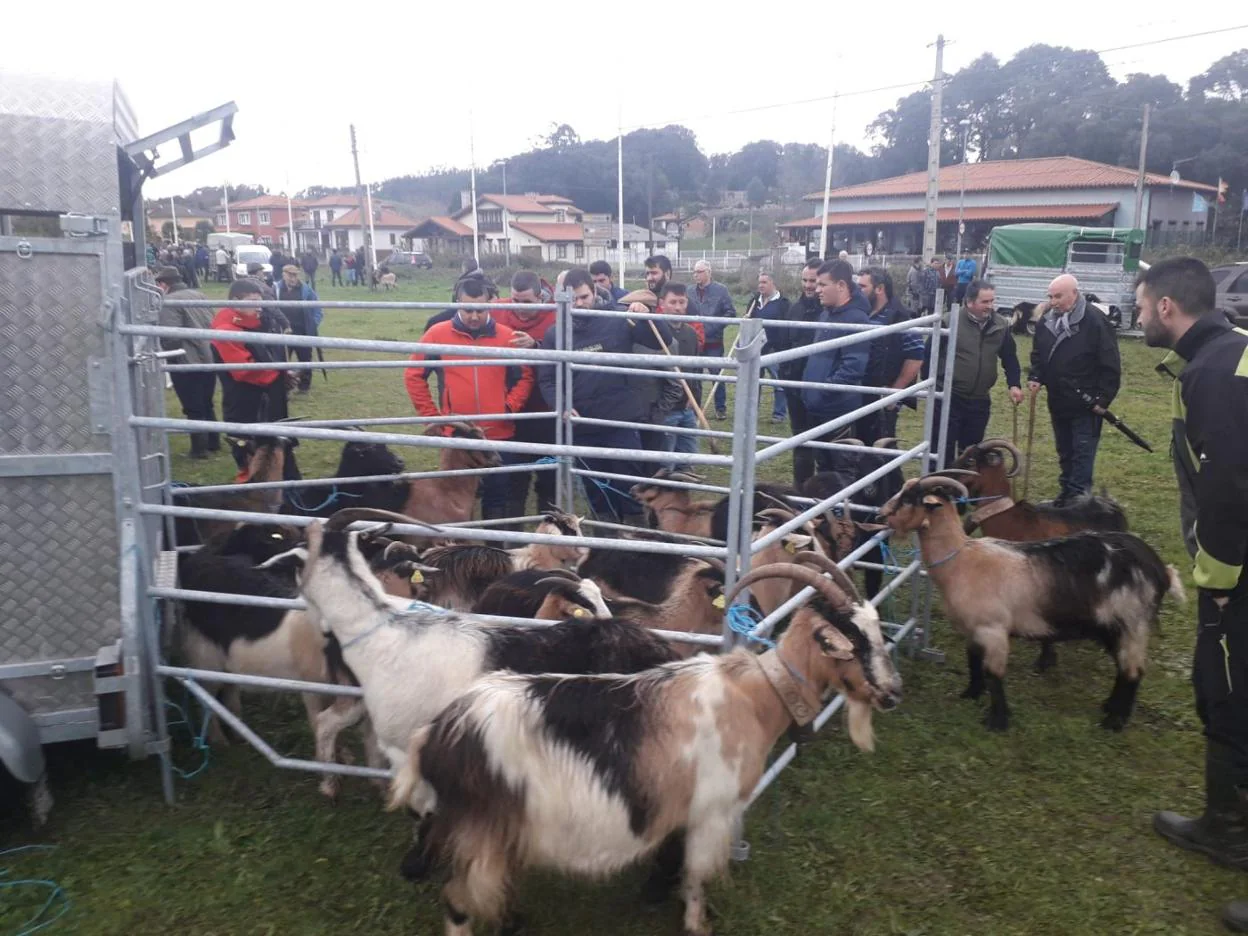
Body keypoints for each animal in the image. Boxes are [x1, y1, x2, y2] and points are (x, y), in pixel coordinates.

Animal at [384, 564, 903, 936]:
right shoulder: (710, 812)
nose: (892, 692)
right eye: (853, 641)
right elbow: (695, 877)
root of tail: (436, 735)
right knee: (457, 903)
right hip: (479, 832)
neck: (753, 697)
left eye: (877, 629)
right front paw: (696, 924)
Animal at [878, 476, 1178, 733]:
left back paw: (1114, 722)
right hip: (1112, 627)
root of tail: (1159, 568)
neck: (961, 560)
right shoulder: (972, 628)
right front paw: (971, 694)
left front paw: (998, 721)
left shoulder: (993, 629)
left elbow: (994, 674)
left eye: (909, 499)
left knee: (1133, 671)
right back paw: (1109, 708)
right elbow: (973, 661)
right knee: (1123, 667)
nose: (880, 516)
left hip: (1132, 623)